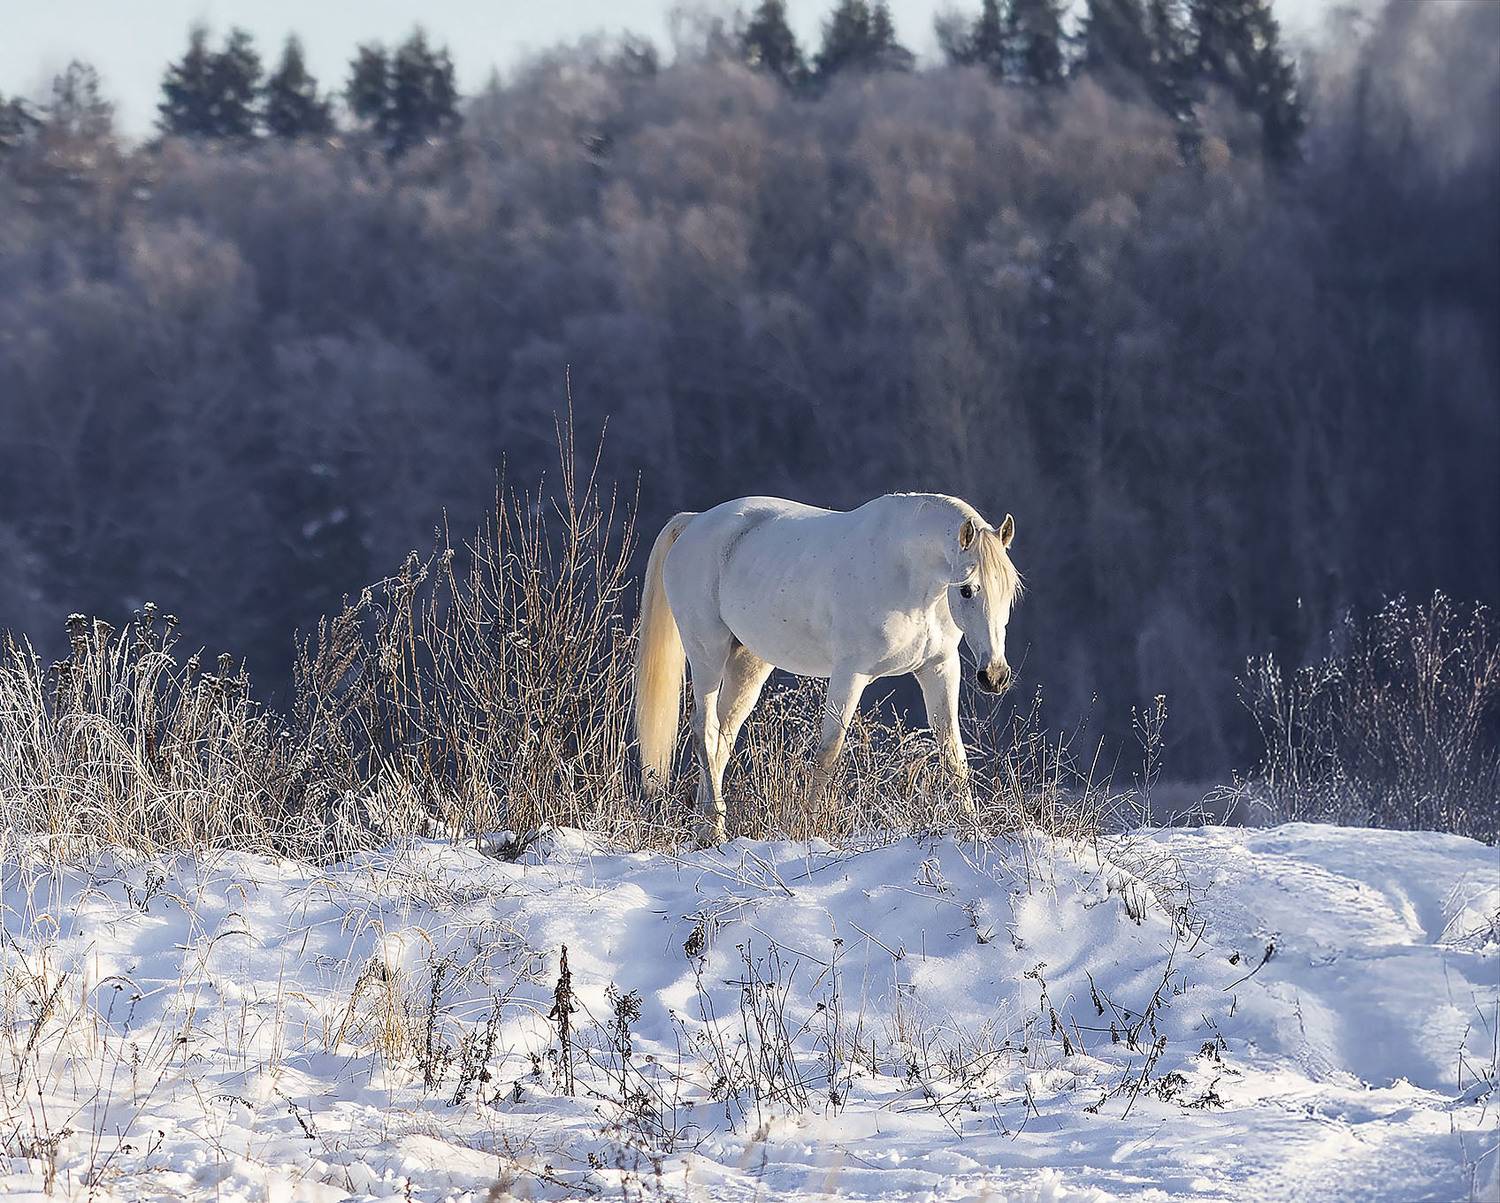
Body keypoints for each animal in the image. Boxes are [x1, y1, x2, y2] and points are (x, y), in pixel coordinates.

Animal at [633, 493, 1021, 843]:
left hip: (749, 662)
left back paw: (704, 829)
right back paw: (714, 828)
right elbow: (828, 752)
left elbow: (952, 751)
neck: (907, 573)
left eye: (1010, 592)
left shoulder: (939, 668)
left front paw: (971, 825)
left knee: (723, 739)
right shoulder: (851, 674)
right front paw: (804, 827)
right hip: (707, 653)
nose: (994, 675)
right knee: (706, 729)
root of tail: (694, 523)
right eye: (968, 590)